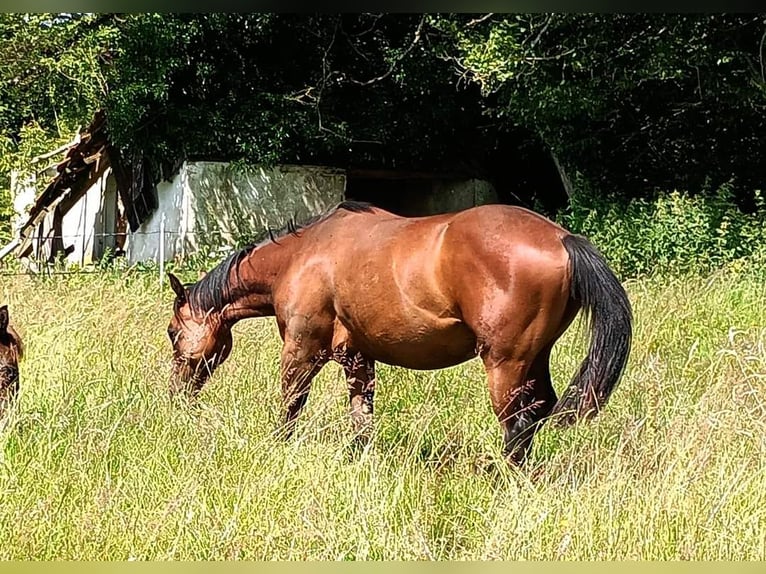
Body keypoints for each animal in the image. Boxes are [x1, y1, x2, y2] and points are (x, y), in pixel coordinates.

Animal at [168, 202, 636, 468]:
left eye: (173, 333)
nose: (176, 394)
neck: (303, 255)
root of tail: (562, 238)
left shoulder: (302, 349)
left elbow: (291, 405)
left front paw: (278, 448)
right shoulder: (357, 357)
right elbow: (361, 417)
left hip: (506, 364)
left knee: (518, 424)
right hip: (534, 359)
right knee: (537, 412)